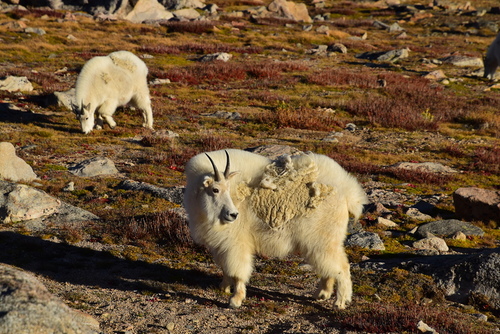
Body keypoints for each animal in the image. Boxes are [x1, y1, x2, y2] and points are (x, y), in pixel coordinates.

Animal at [184, 147, 368, 310]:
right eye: (215, 189)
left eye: (228, 189)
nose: (233, 215)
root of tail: (348, 193)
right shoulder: (221, 245)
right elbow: (225, 268)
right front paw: (223, 287)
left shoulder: (237, 243)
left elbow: (238, 271)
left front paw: (235, 300)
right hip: (320, 241)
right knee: (328, 267)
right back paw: (322, 294)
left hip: (324, 238)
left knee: (342, 267)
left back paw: (340, 302)